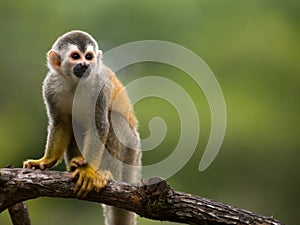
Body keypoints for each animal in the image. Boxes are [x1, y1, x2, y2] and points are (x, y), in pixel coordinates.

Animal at [22, 30, 141, 225]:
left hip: (131, 148)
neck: (74, 83)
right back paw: (76, 163)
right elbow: (61, 122)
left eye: (89, 57)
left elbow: (100, 125)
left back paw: (105, 174)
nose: (85, 64)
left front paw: (88, 171)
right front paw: (46, 161)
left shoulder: (100, 86)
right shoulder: (50, 86)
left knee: (113, 119)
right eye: (76, 56)